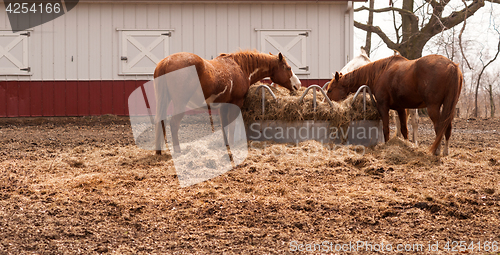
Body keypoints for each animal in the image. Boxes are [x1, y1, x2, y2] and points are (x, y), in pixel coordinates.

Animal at [152, 49, 300, 153]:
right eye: (288, 68)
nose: (297, 85)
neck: (240, 67)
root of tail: (166, 61)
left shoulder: (223, 106)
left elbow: (225, 126)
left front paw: (226, 144)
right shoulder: (235, 103)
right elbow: (232, 125)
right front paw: (232, 145)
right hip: (180, 104)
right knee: (173, 123)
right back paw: (177, 150)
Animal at [326, 54, 462, 155]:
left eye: (330, 90)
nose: (326, 102)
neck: (380, 72)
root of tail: (452, 66)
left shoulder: (383, 107)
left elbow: (386, 128)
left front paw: (387, 145)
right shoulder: (400, 109)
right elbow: (404, 130)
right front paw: (406, 145)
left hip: (433, 108)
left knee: (439, 128)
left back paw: (436, 151)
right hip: (449, 107)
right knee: (447, 128)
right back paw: (445, 152)